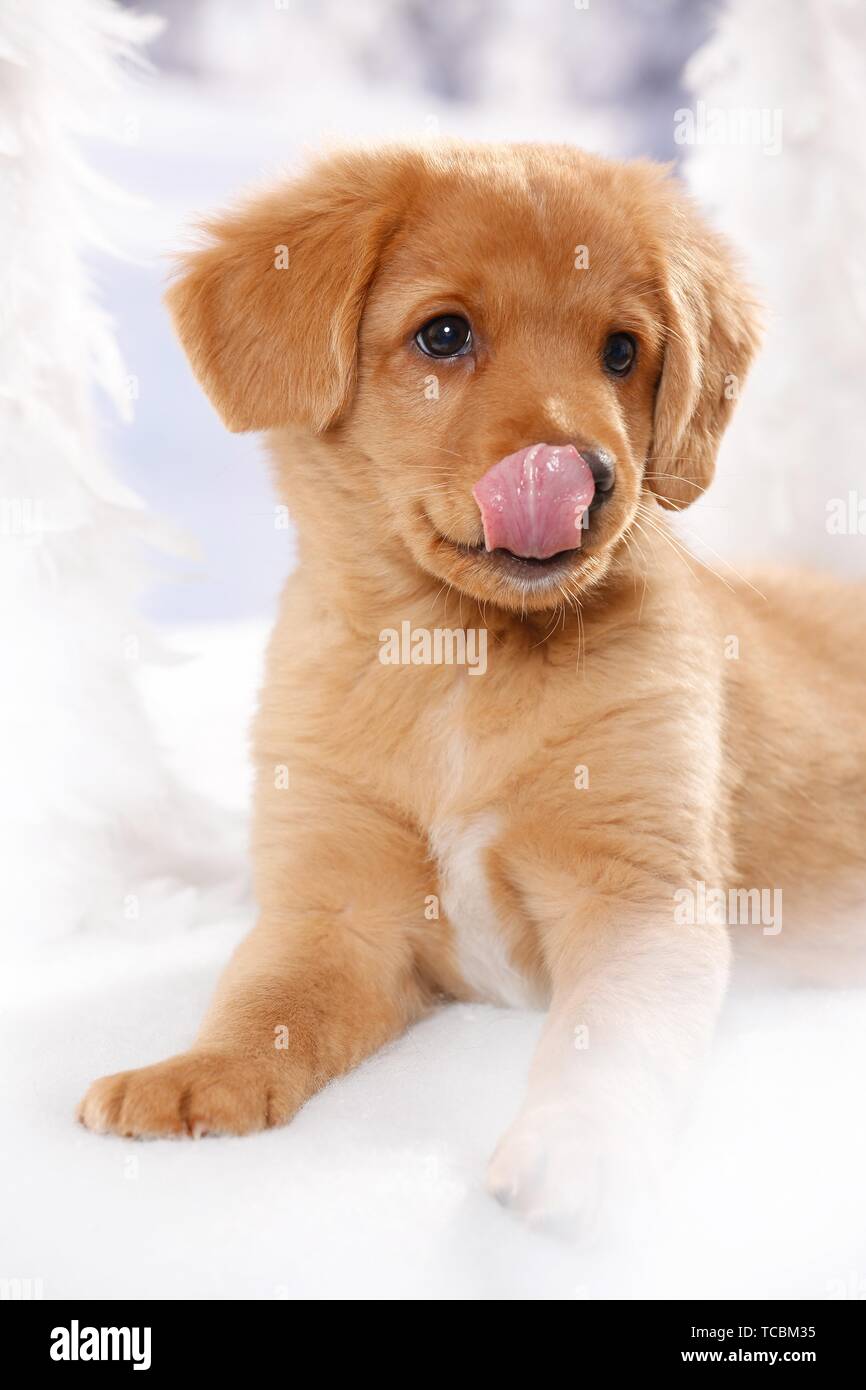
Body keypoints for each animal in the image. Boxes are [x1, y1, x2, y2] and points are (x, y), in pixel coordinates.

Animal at [79, 141, 866, 1228]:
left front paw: (581, 1146)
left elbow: (609, 1043)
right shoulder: (335, 909)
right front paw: (196, 1072)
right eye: (443, 334)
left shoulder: (638, 897)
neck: (455, 659)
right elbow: (263, 1004)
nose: (579, 475)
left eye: (622, 351)